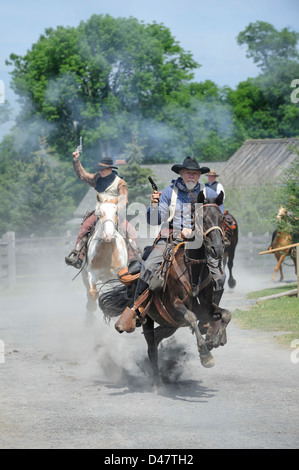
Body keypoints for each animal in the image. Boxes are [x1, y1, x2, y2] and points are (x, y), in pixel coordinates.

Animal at [81, 196, 128, 324]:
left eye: (116, 212)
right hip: (84, 275)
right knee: (88, 291)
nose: (109, 235)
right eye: (99, 213)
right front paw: (90, 312)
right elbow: (93, 293)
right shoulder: (92, 274)